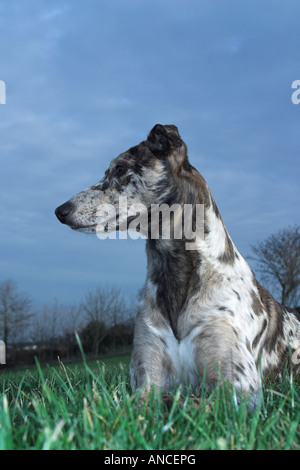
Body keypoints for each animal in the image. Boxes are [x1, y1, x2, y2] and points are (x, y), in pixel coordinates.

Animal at [55, 124, 300, 404]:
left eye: (120, 169)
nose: (60, 211)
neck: (175, 273)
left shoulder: (240, 389)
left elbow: (187, 400)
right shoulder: (145, 378)